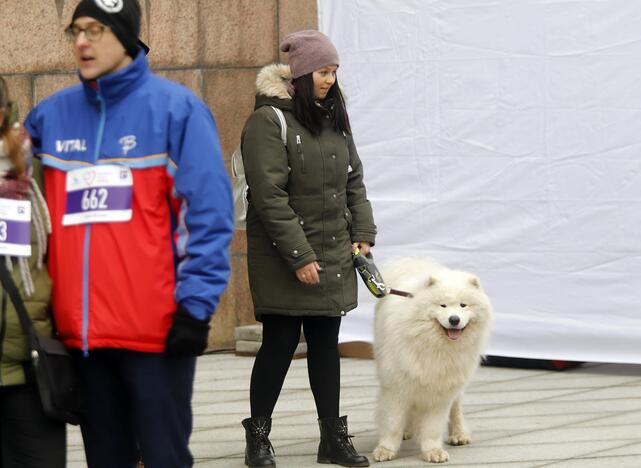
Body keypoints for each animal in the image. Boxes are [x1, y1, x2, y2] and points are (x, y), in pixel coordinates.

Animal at [372, 258, 492, 462]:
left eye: (463, 305)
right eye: (442, 305)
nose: (454, 320)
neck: (434, 345)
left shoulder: (441, 390)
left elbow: (433, 427)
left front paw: (433, 452)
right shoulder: (396, 386)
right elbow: (393, 422)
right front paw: (385, 450)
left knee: (456, 408)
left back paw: (459, 434)